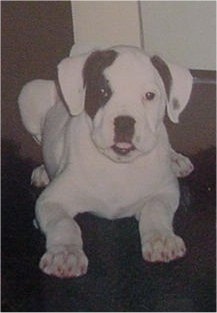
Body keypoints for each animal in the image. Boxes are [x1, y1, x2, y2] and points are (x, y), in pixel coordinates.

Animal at [19, 44, 193, 278]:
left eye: (149, 96)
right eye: (103, 92)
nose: (125, 123)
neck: (118, 167)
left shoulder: (165, 192)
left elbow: (155, 210)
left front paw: (161, 239)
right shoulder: (50, 201)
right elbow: (64, 223)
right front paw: (65, 252)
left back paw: (176, 159)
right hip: (29, 94)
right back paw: (43, 171)